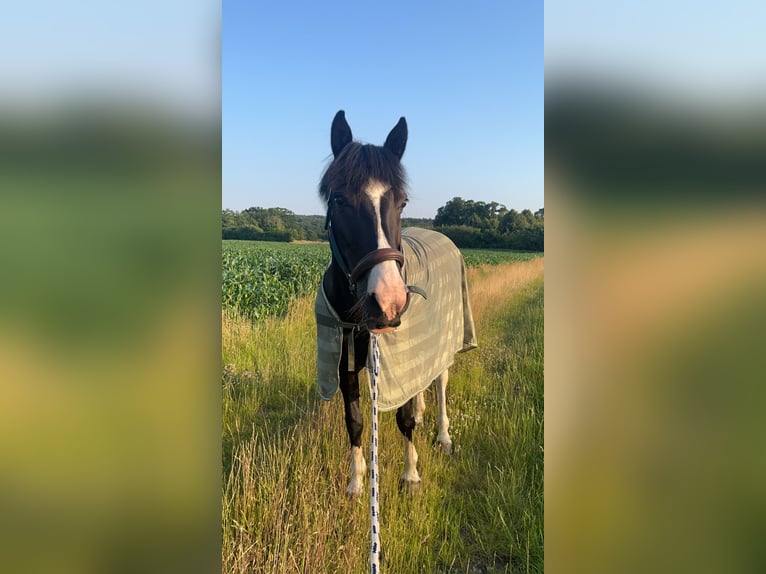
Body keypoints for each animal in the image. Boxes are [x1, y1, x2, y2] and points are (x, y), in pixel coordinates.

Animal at [316, 110, 476, 498]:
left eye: (402, 202)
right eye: (339, 199)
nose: (388, 301)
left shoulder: (400, 353)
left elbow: (404, 420)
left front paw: (411, 475)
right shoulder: (344, 363)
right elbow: (356, 421)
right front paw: (357, 483)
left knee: (440, 382)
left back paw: (443, 436)